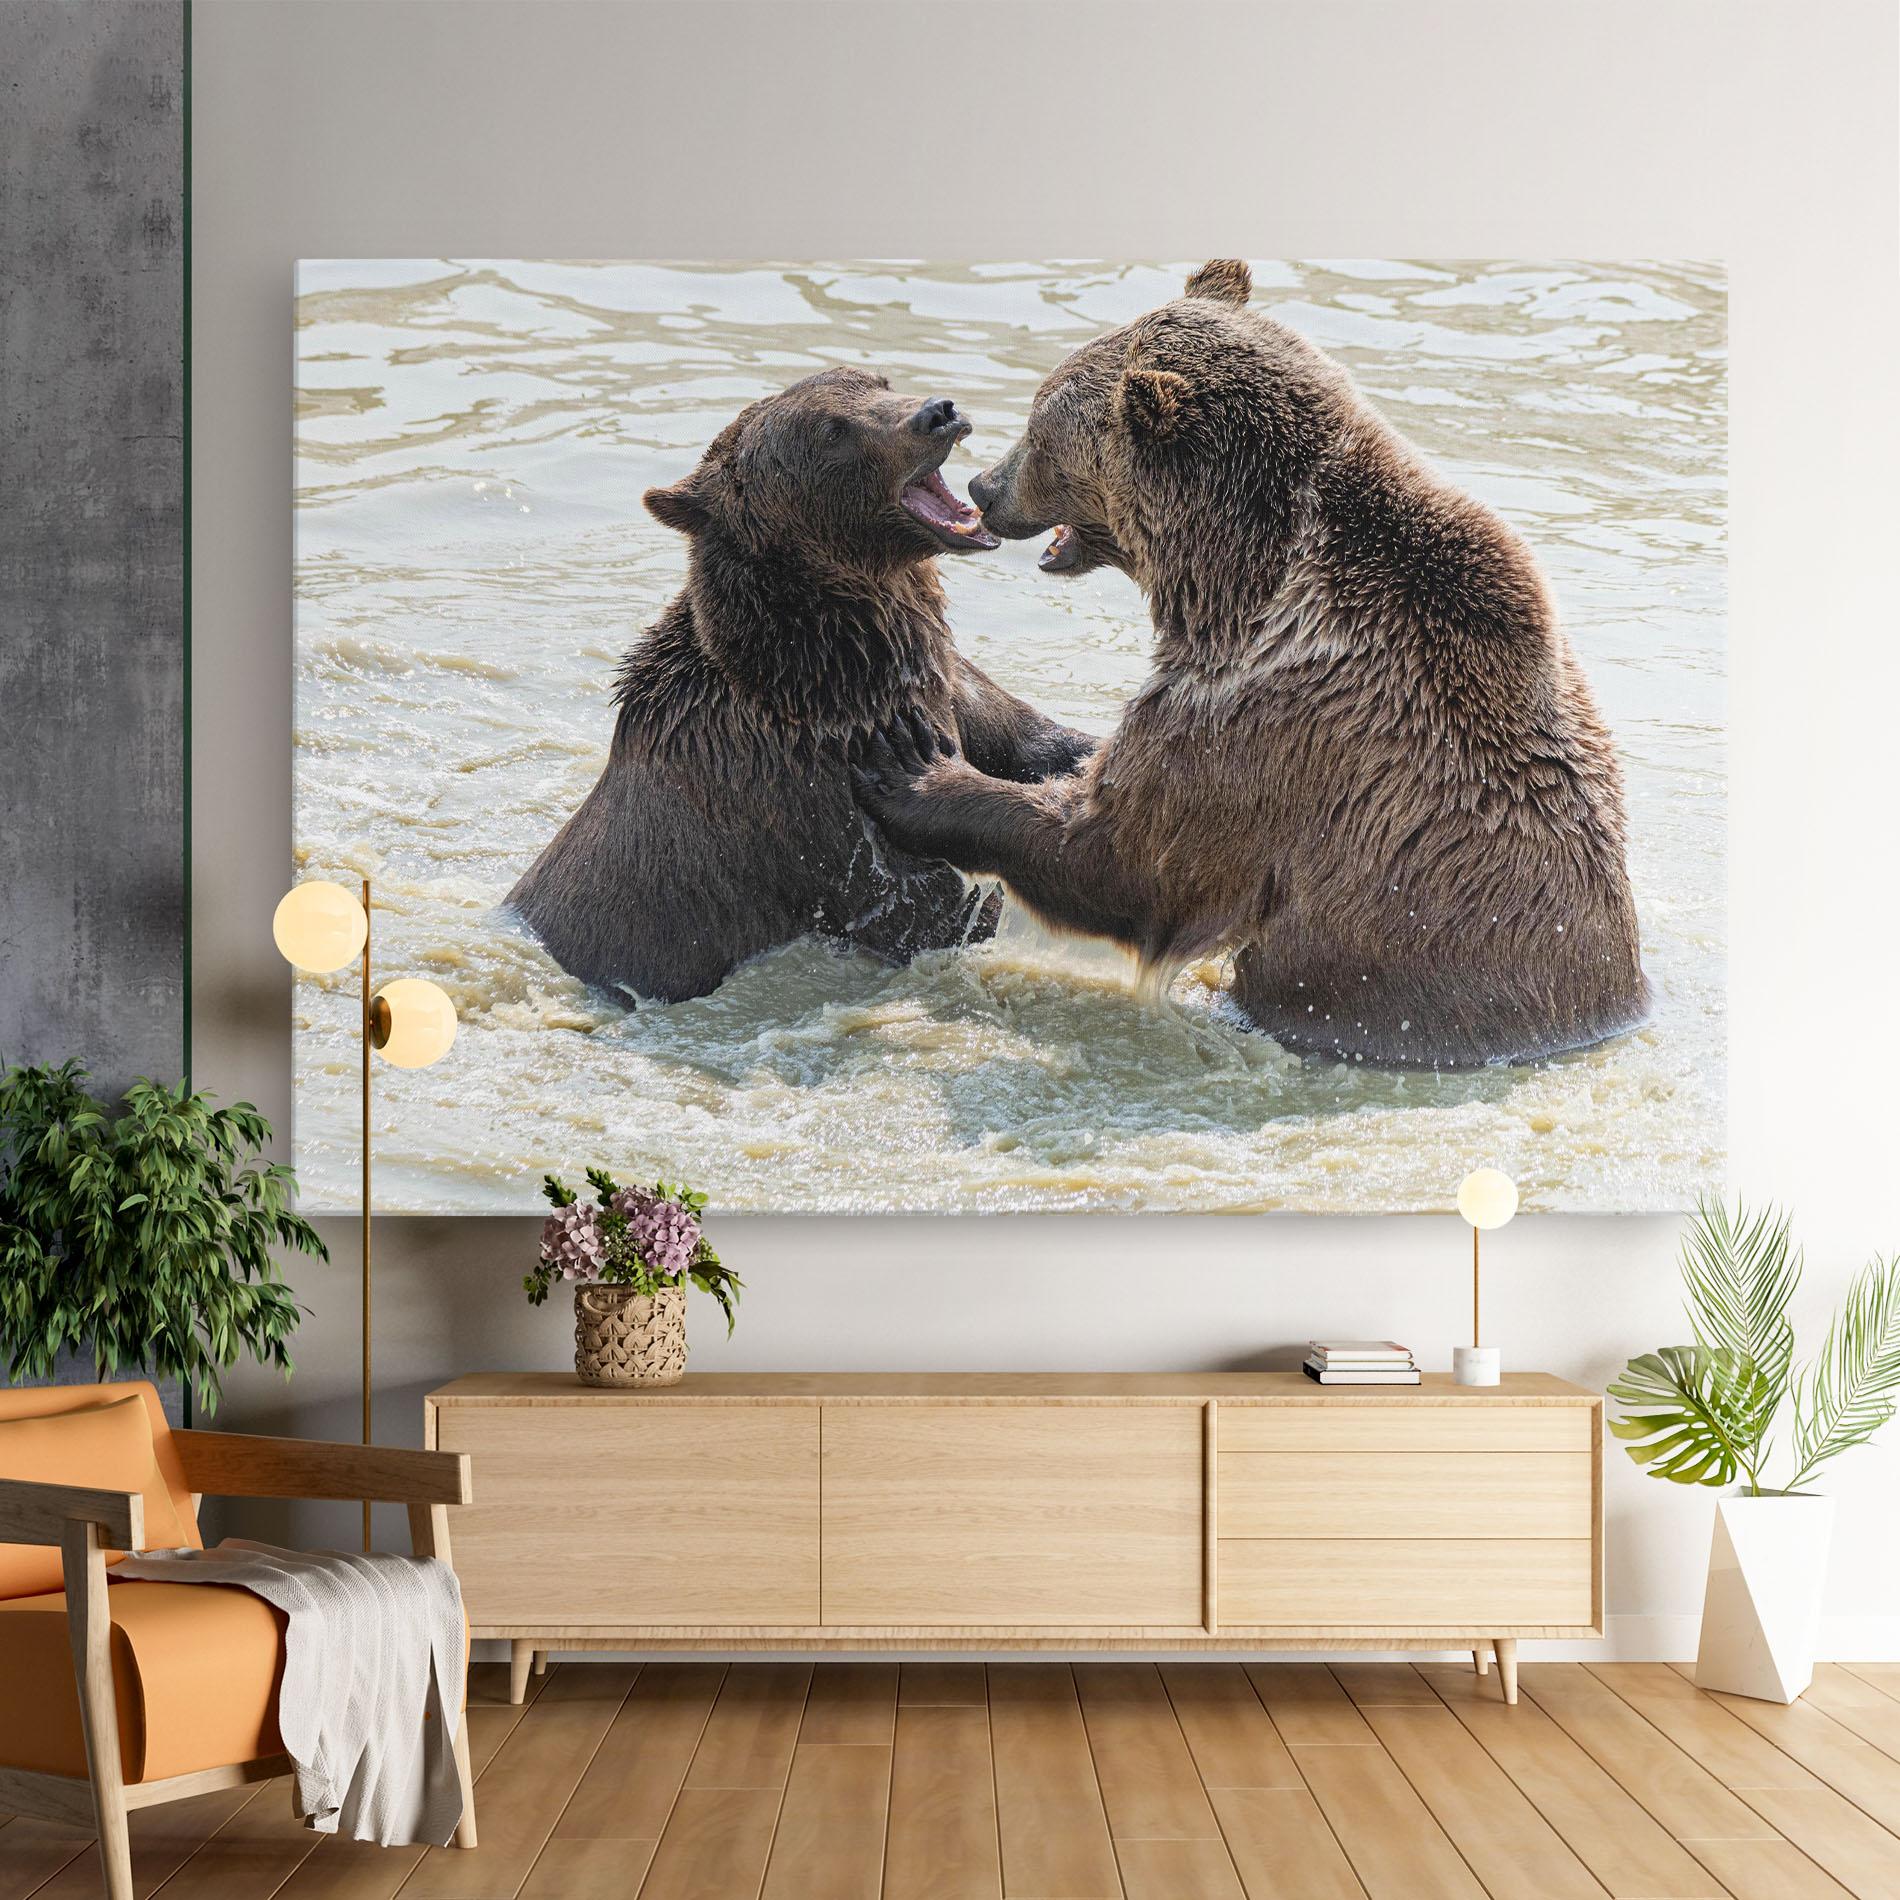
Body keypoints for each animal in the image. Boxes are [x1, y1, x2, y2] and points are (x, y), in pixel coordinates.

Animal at [506, 366, 1094, 1005]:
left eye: (877, 381)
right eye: (832, 431)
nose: (938, 412)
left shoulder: (948, 684)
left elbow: (1037, 741)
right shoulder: (807, 799)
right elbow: (923, 906)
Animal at [853, 261, 1649, 1069]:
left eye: (1041, 429)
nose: (985, 487)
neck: (1234, 584)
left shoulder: (1264, 721)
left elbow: (1124, 855)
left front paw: (915, 771)